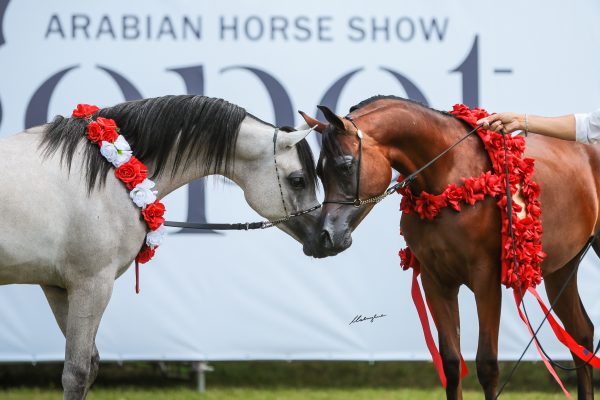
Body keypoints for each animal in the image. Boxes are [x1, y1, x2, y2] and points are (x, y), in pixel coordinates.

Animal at [0, 94, 322, 400]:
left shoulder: (57, 287)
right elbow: (77, 372)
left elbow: (87, 364)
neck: (105, 172)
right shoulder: (91, 284)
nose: (327, 236)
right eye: (298, 180)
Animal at [302, 95, 600, 398]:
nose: (325, 236)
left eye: (345, 165)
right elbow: (451, 363)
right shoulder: (436, 281)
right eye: (318, 172)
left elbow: (487, 365)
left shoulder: (485, 279)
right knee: (582, 335)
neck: (451, 174)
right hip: (562, 269)